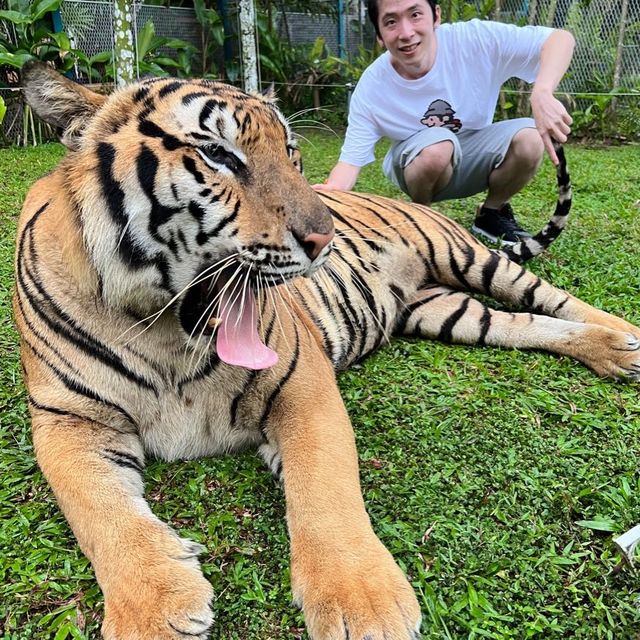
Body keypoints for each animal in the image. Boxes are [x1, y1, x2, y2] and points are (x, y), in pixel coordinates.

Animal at [15, 61, 640, 640]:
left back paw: (626, 340)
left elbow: (325, 484)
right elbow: (99, 510)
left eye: (291, 152)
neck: (165, 332)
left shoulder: (301, 380)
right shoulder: (65, 420)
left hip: (471, 258)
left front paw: (363, 603)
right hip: (449, 312)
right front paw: (152, 609)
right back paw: (613, 350)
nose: (326, 239)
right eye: (217, 154)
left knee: (553, 298)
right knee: (525, 323)